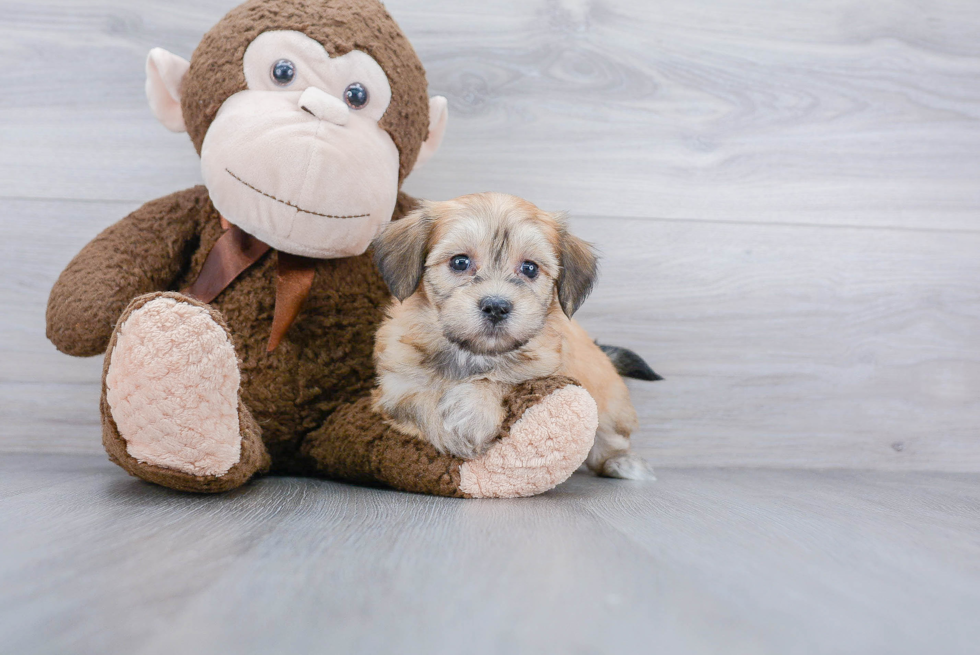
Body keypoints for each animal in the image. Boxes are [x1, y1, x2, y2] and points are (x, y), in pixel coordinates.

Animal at [372, 192, 656, 480]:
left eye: (530, 268)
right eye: (460, 262)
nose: (496, 307)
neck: (469, 354)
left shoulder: (540, 370)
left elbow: (500, 377)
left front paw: (472, 413)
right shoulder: (392, 389)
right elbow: (416, 401)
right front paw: (450, 429)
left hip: (608, 397)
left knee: (608, 435)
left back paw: (621, 461)